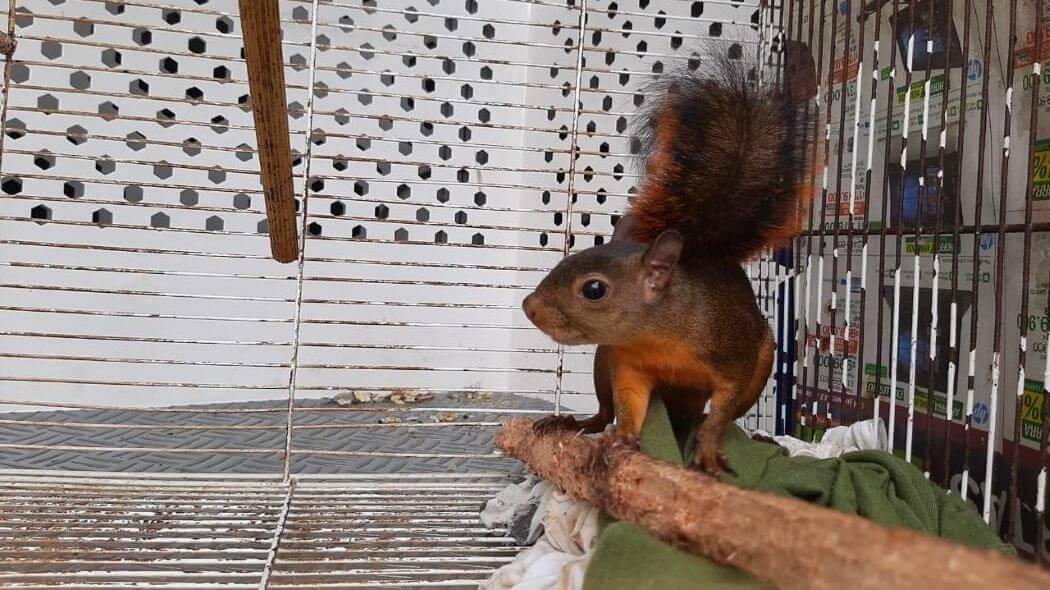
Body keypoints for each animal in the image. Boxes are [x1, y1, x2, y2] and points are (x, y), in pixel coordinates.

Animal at [520, 49, 806, 472]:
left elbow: (724, 408)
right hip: (603, 358)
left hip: (761, 363)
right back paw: (577, 423)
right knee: (605, 411)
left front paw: (708, 448)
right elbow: (628, 406)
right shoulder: (626, 364)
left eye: (594, 289)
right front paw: (621, 439)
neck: (658, 334)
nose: (530, 307)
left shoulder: (730, 354)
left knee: (718, 413)